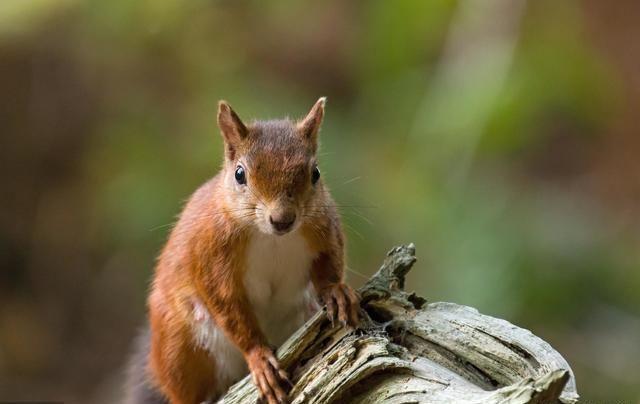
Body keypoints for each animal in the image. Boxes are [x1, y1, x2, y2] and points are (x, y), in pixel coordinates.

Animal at [125, 98, 360, 404]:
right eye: (240, 174)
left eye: (315, 174)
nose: (282, 220)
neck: (271, 238)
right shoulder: (211, 254)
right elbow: (229, 308)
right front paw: (259, 358)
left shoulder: (323, 229)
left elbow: (330, 262)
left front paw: (336, 292)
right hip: (180, 349)